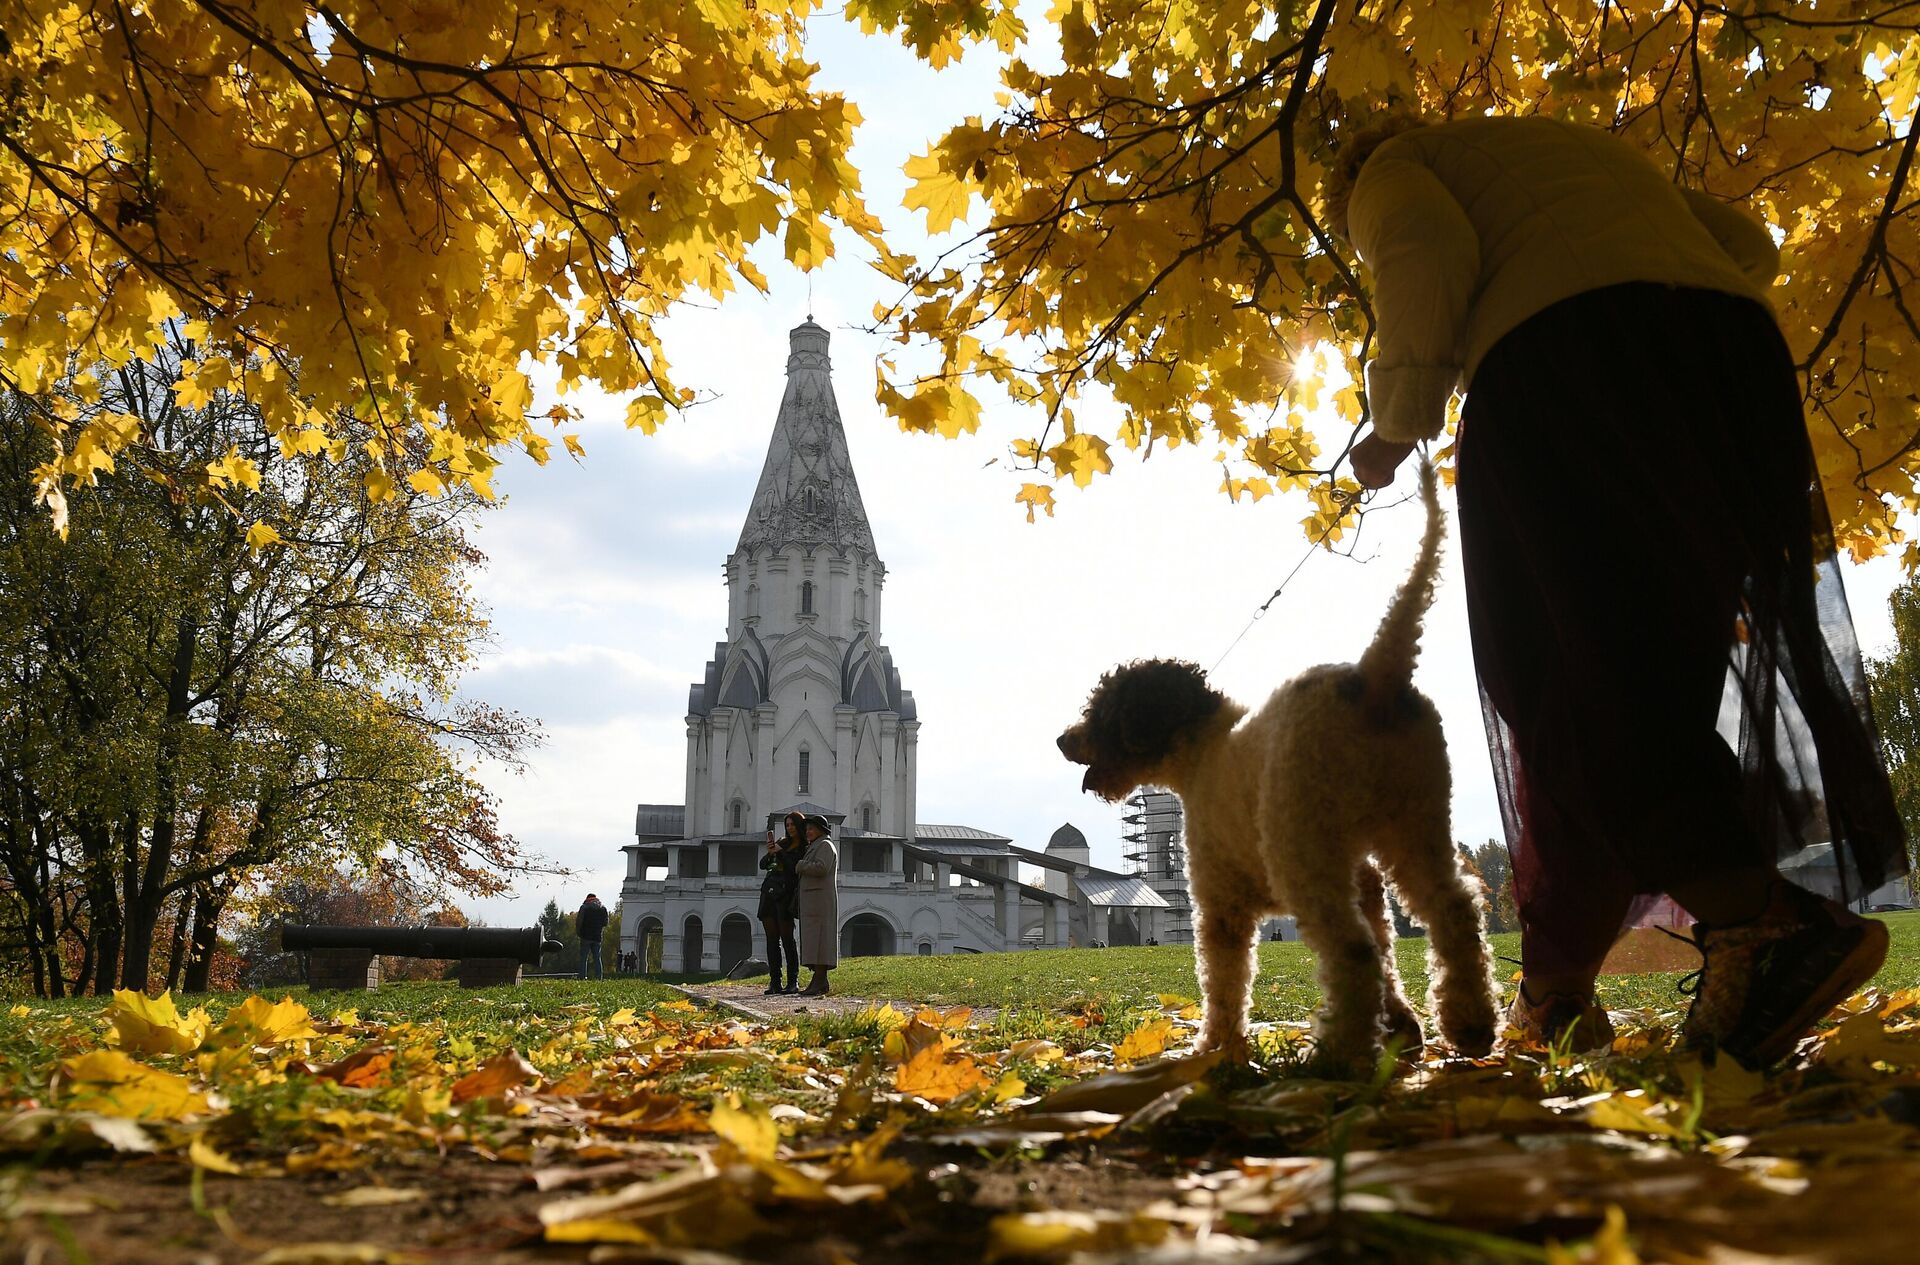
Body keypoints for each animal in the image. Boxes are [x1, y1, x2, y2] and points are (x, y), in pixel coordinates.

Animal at [1067, 468, 1497, 1082]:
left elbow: (1225, 983)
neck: (1204, 749)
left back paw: (1338, 1054)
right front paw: (1402, 1032)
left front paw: (1215, 1050)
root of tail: (1373, 678)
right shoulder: (1364, 880)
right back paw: (1470, 1024)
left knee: (1352, 948)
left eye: (1102, 709)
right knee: (1452, 910)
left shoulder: (1220, 904)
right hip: (1417, 825)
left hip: (1305, 850)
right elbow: (1390, 948)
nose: (1063, 740)